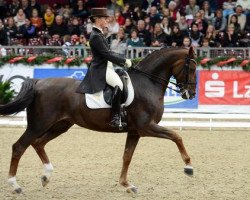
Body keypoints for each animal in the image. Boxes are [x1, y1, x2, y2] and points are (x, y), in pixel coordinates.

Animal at [0, 46, 197, 194]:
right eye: (191, 68)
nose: (190, 94)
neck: (148, 83)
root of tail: (39, 83)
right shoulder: (146, 127)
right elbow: (176, 136)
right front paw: (188, 166)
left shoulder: (134, 131)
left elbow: (127, 156)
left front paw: (127, 185)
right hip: (39, 124)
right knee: (19, 147)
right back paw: (15, 186)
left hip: (60, 125)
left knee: (38, 143)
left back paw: (46, 176)